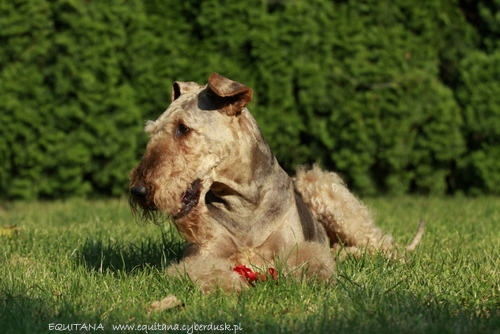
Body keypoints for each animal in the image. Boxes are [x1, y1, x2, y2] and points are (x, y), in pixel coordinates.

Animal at [128, 73, 422, 292]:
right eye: (153, 131)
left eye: (183, 128)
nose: (138, 191)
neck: (242, 203)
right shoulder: (201, 256)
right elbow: (203, 271)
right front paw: (229, 286)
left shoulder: (295, 248)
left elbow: (313, 264)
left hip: (321, 188)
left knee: (381, 244)